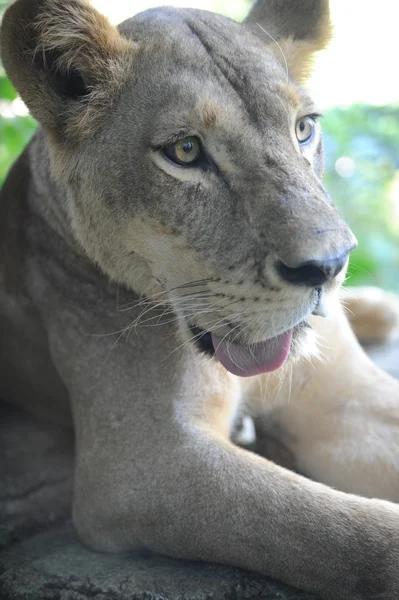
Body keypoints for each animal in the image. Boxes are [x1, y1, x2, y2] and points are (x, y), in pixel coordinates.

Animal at [0, 1, 399, 600]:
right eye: (185, 152)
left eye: (304, 129)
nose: (328, 267)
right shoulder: (146, 466)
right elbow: (330, 529)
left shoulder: (345, 401)